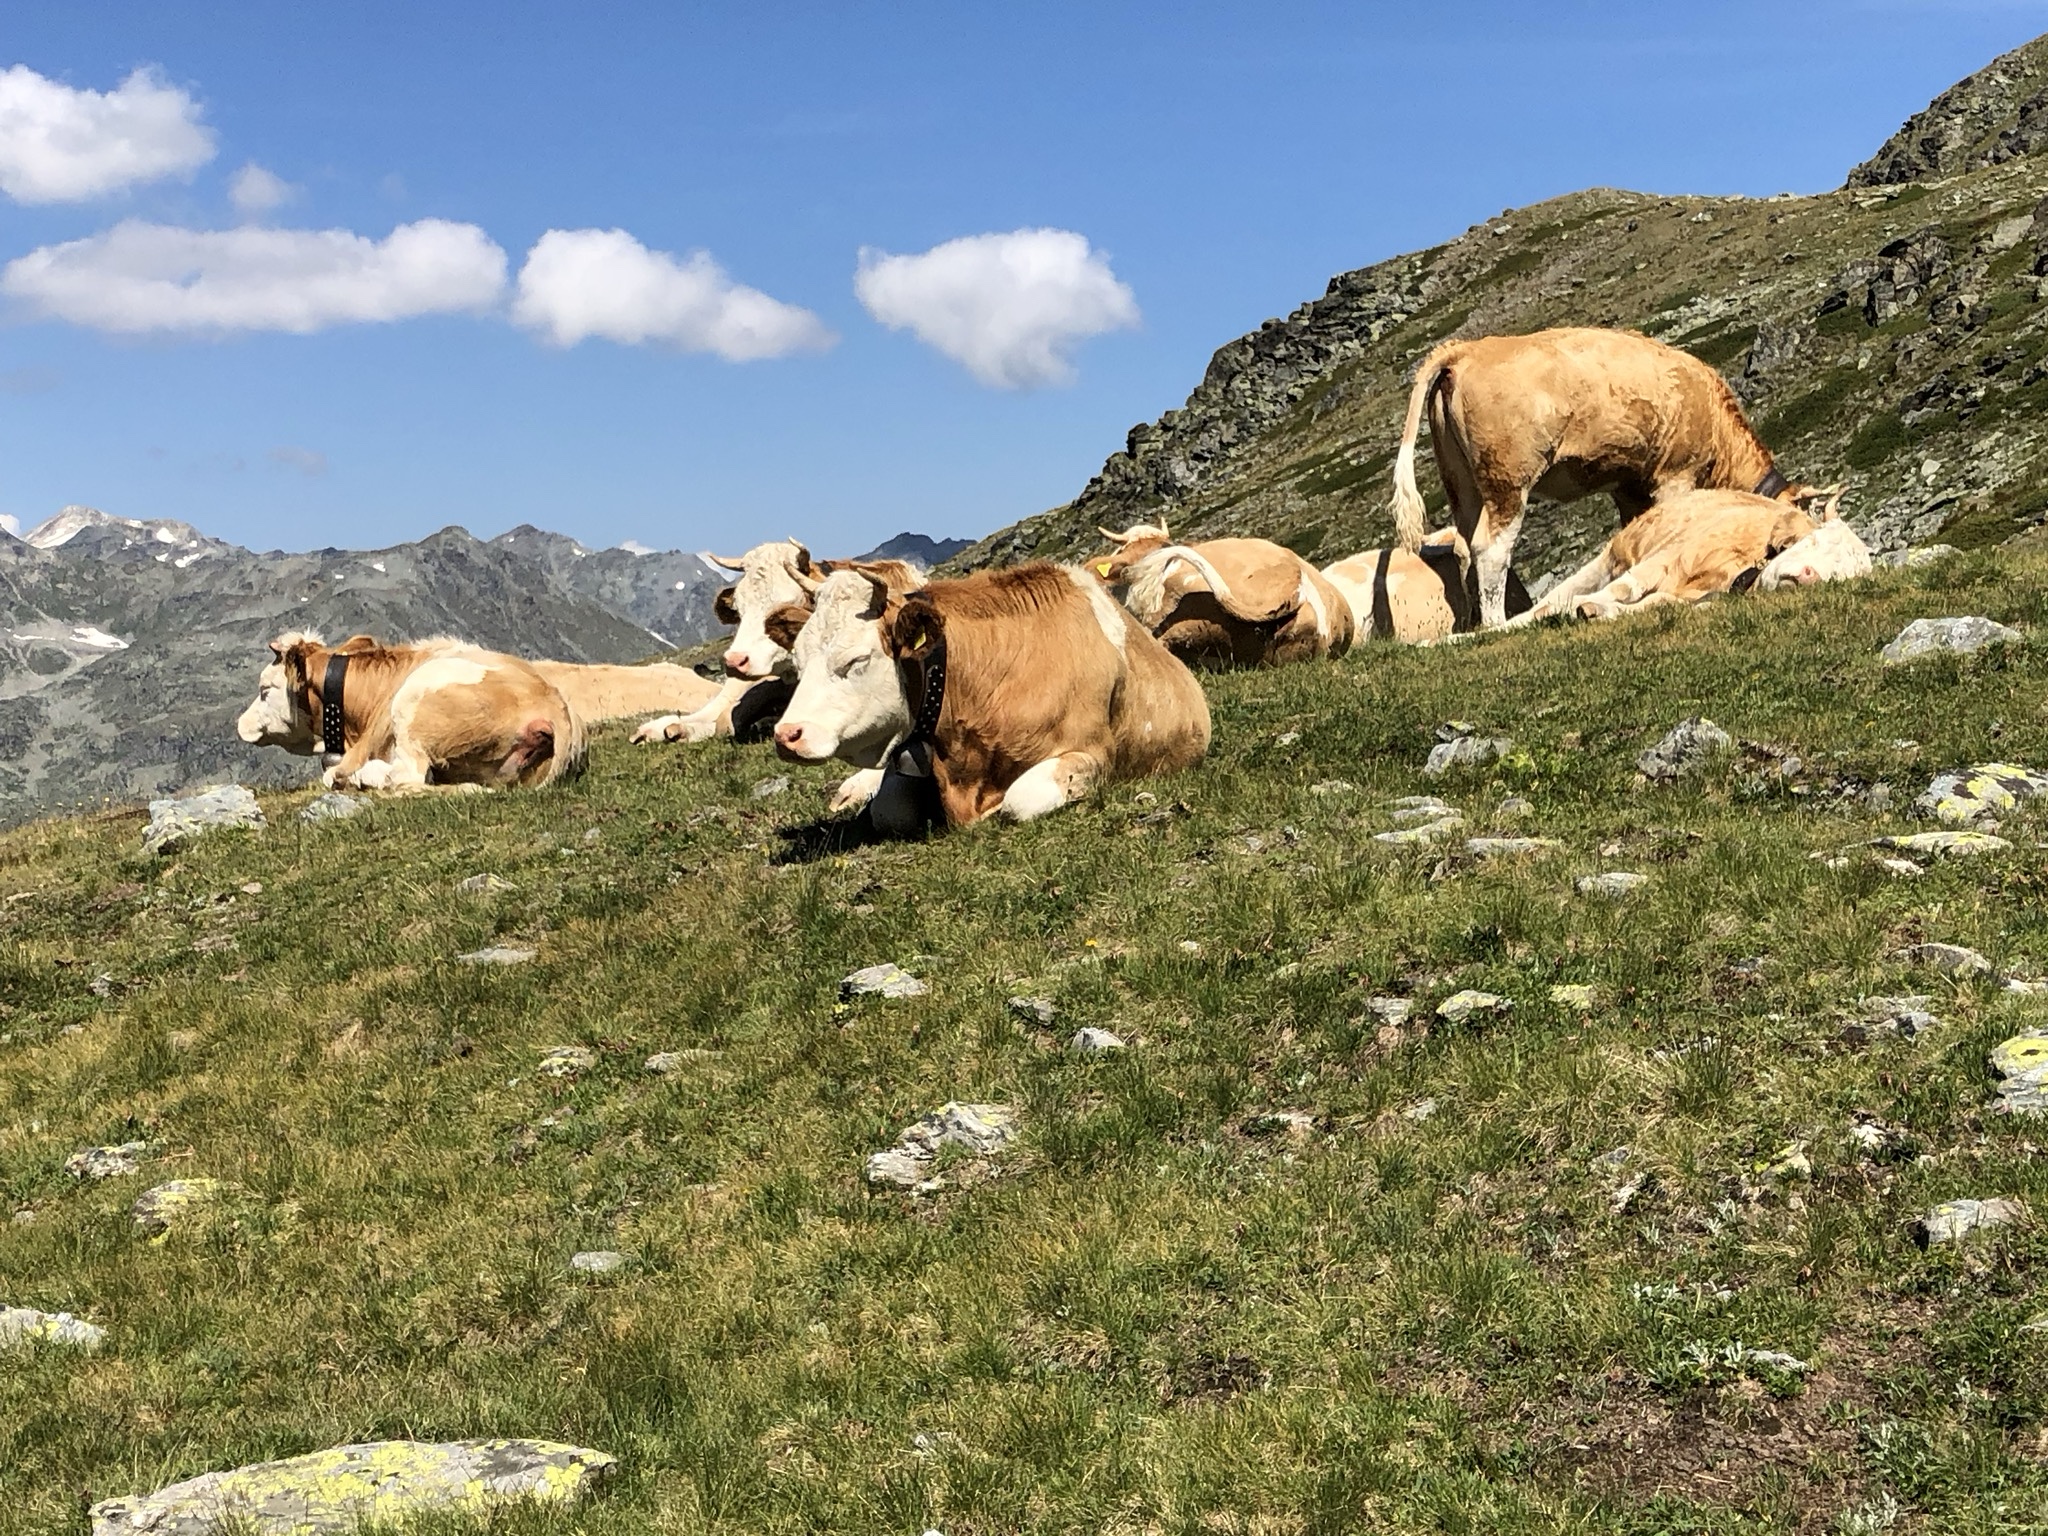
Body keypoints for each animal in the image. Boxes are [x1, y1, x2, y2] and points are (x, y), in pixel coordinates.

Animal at [769, 563, 1211, 833]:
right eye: (798, 660)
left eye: (857, 659)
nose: (787, 734)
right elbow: (888, 811)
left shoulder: (1093, 753)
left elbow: (1019, 800)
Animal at [1508, 487, 1840, 625]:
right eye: (1812, 541)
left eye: (1841, 574)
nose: (1810, 575)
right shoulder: (1666, 558)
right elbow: (1626, 588)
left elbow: (1653, 604)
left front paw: (1594, 611)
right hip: (1613, 555)